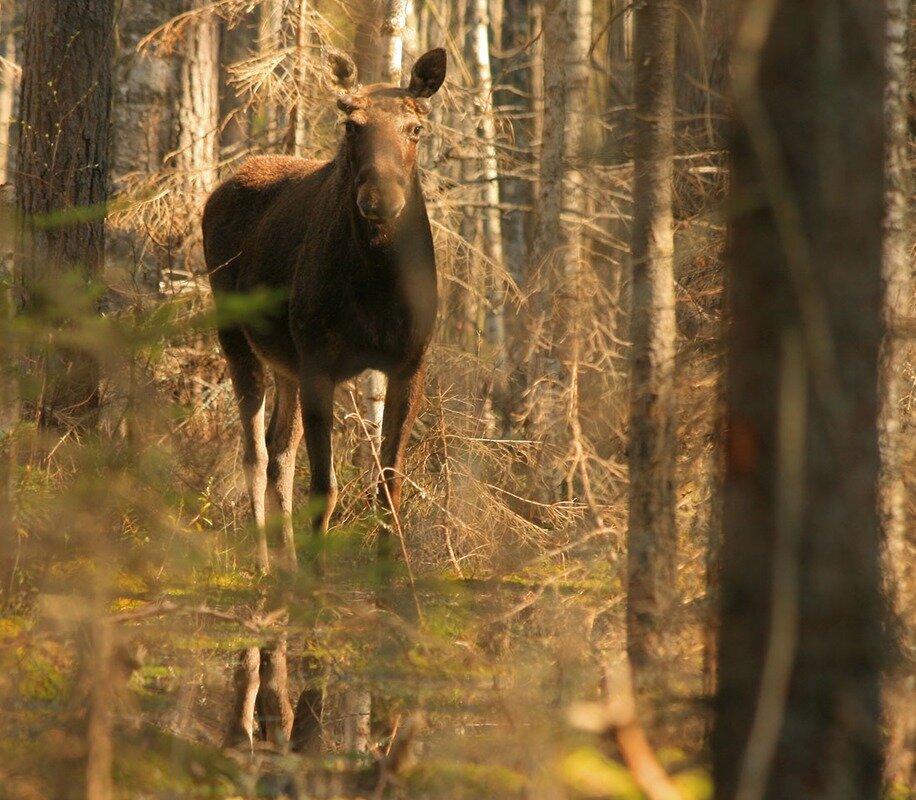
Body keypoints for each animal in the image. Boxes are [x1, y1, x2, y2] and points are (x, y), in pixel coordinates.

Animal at [202, 47, 446, 572]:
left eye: (416, 127)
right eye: (351, 125)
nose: (379, 200)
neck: (377, 285)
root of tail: (221, 187)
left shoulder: (411, 363)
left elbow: (389, 485)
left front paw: (392, 573)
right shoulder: (320, 361)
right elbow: (324, 488)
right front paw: (318, 576)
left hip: (287, 364)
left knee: (279, 452)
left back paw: (287, 562)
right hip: (236, 336)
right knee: (255, 452)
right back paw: (265, 562)